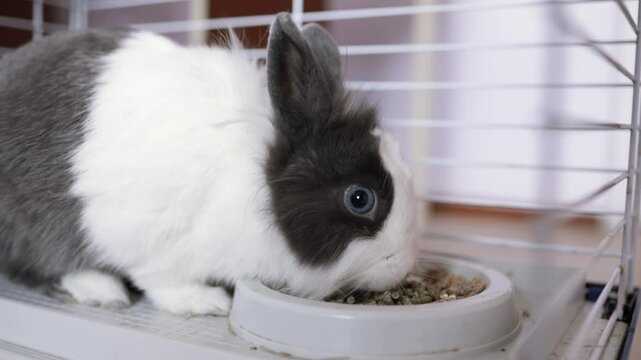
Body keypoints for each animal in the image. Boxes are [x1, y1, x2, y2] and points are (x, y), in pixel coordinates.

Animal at [0, 12, 416, 314]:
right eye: (360, 198)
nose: (404, 266)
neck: (258, 181)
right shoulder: (158, 247)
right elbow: (164, 282)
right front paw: (206, 303)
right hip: (36, 223)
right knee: (36, 264)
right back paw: (101, 290)